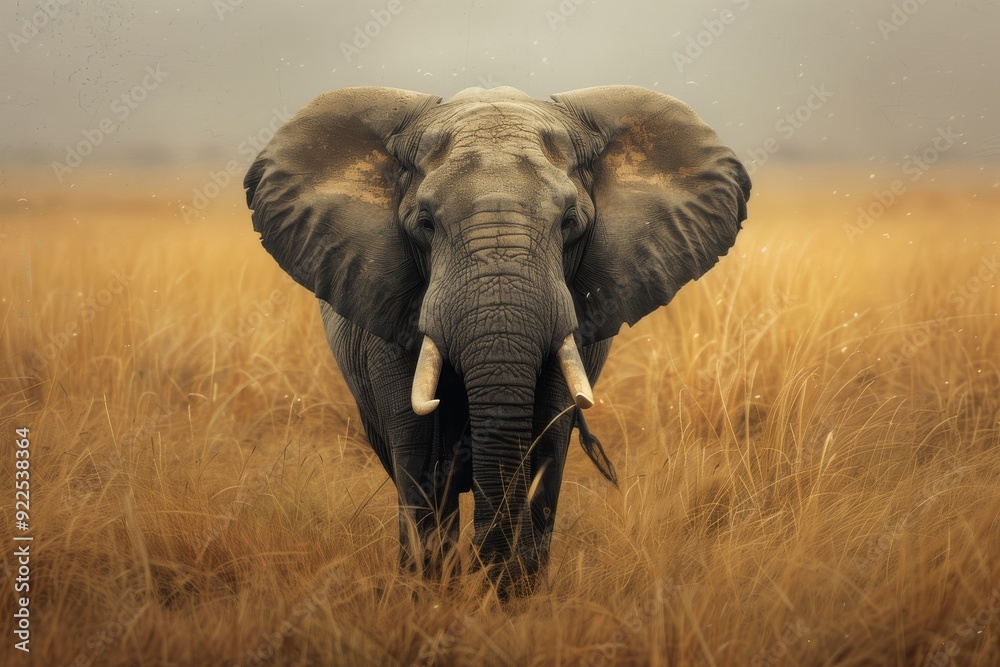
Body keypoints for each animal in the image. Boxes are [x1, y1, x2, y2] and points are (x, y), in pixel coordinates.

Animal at [244, 85, 750, 597]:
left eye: (569, 222)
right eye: (425, 223)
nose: (484, 570)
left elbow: (547, 438)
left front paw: (515, 596)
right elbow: (416, 452)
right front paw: (434, 598)